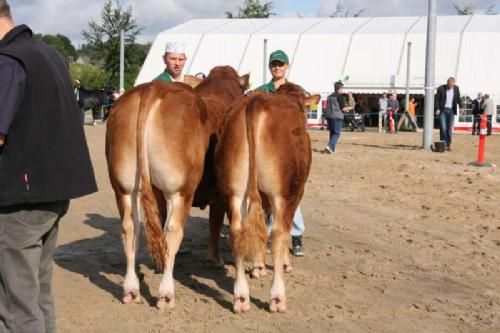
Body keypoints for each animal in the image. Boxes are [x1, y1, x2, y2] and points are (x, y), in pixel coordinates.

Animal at [216, 82, 320, 312]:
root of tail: (257, 101)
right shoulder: (293, 193)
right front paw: (282, 264)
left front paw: (258, 266)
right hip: (283, 193)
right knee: (279, 233)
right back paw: (277, 298)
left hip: (235, 191)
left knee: (239, 232)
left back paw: (241, 298)